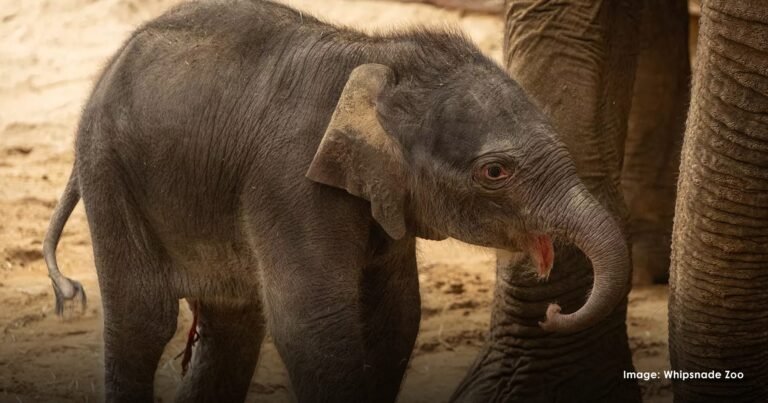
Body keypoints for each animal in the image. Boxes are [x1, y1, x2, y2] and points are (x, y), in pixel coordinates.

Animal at [41, 0, 631, 402]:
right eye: (495, 172)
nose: (555, 311)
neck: (377, 58)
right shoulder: (289, 182)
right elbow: (313, 323)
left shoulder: (382, 201)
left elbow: (395, 318)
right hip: (109, 172)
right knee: (143, 321)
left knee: (231, 326)